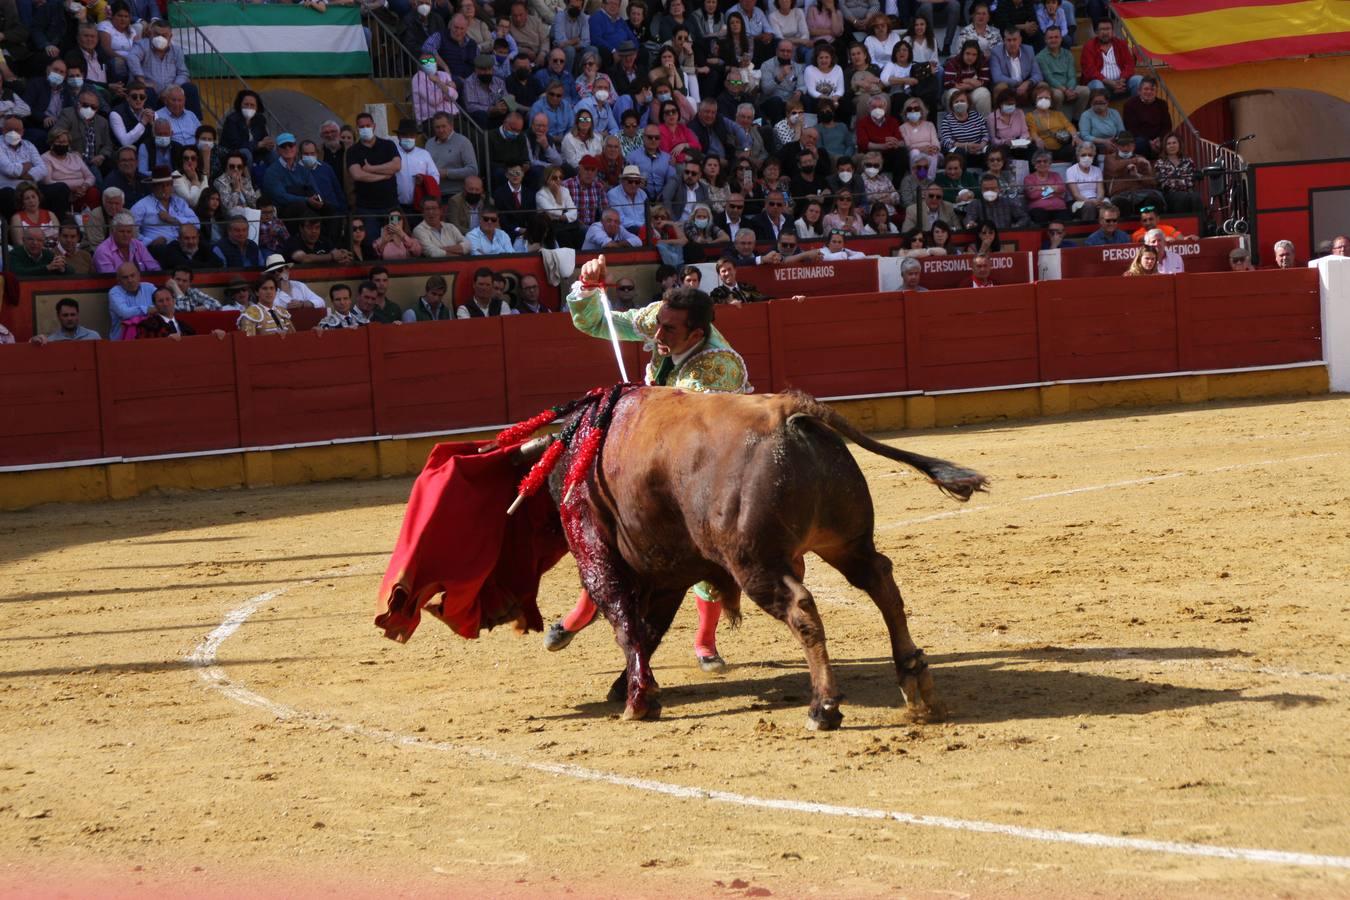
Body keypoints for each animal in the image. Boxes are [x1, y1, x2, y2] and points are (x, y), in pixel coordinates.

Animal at [529, 383, 993, 728]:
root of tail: (786, 411)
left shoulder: (606, 550)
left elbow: (627, 618)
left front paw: (637, 700)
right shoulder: (666, 567)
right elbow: (650, 628)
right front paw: (629, 685)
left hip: (756, 562)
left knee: (801, 606)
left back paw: (824, 708)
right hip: (847, 542)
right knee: (882, 582)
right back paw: (913, 678)